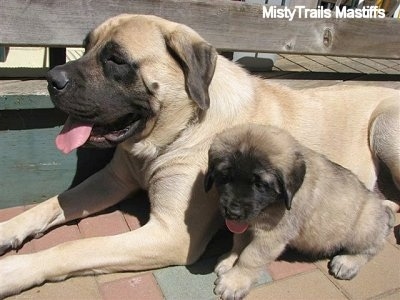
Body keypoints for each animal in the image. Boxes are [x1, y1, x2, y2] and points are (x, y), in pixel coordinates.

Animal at [205, 123, 396, 300]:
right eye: (224, 177)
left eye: (259, 184)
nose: (232, 212)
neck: (276, 202)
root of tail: (382, 208)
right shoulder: (245, 224)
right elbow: (238, 242)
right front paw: (229, 261)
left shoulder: (271, 236)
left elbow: (250, 256)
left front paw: (234, 281)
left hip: (365, 224)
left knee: (373, 246)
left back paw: (348, 262)